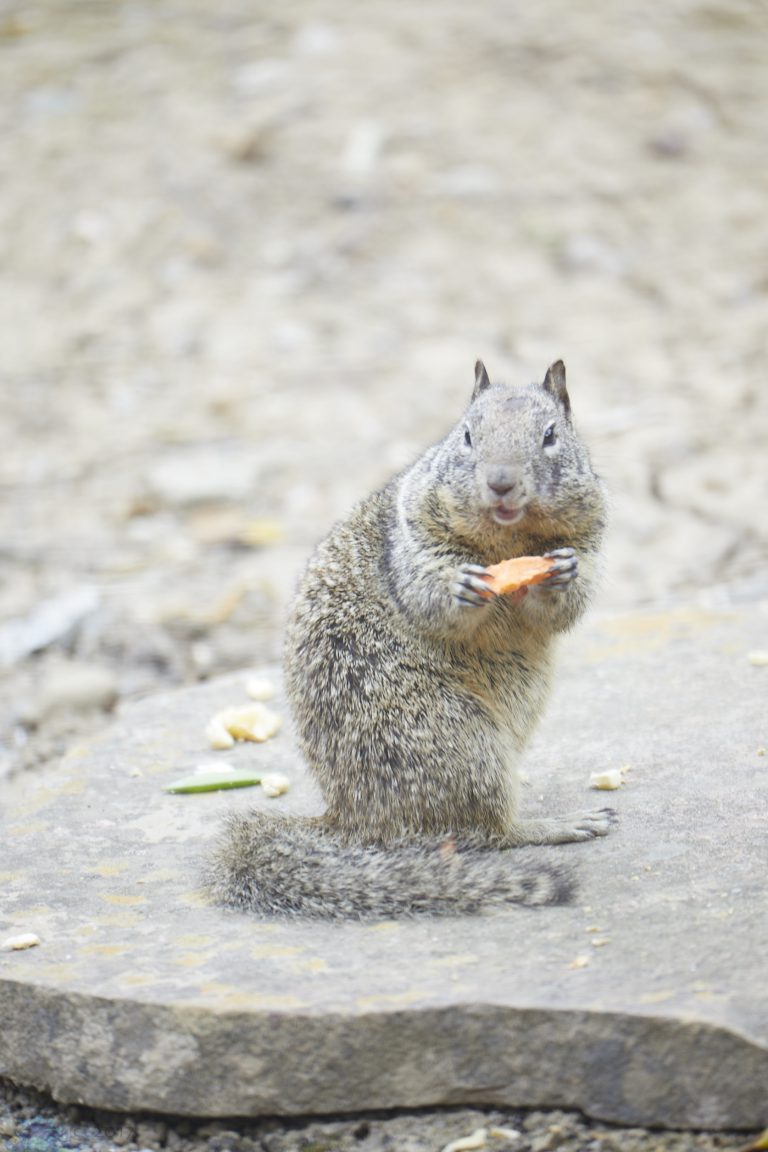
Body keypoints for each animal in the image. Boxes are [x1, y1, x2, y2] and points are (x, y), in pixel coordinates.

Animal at [206, 359, 613, 919]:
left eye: (551, 435)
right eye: (466, 434)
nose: (501, 482)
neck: (509, 541)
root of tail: (351, 820)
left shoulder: (589, 541)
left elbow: (564, 606)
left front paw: (561, 577)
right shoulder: (411, 543)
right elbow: (426, 595)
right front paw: (460, 587)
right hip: (460, 745)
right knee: (491, 833)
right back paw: (554, 825)